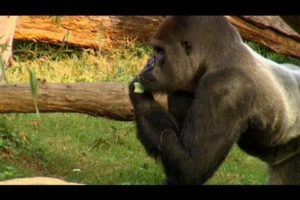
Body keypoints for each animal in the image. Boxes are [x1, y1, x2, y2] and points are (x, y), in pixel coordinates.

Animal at [127, 16, 300, 184]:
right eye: (155, 50)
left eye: (160, 51)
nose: (148, 64)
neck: (217, 56)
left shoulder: (224, 88)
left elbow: (191, 166)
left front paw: (139, 96)